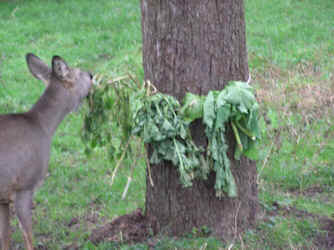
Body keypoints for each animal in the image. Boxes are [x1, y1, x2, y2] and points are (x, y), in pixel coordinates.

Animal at [0, 53, 92, 249]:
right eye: (79, 73)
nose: (91, 74)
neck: (43, 127)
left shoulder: (3, 196)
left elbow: (5, 237)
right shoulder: (24, 185)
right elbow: (29, 237)